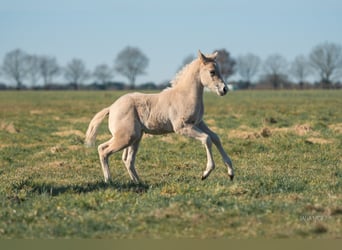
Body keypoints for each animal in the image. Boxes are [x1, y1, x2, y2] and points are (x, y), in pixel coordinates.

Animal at [85, 50, 235, 184]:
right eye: (212, 72)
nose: (224, 89)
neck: (185, 95)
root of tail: (111, 107)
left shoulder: (198, 123)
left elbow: (215, 137)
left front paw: (231, 172)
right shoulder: (182, 127)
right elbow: (207, 139)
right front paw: (206, 173)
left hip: (134, 138)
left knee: (125, 159)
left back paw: (139, 182)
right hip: (127, 137)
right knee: (104, 151)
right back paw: (109, 180)